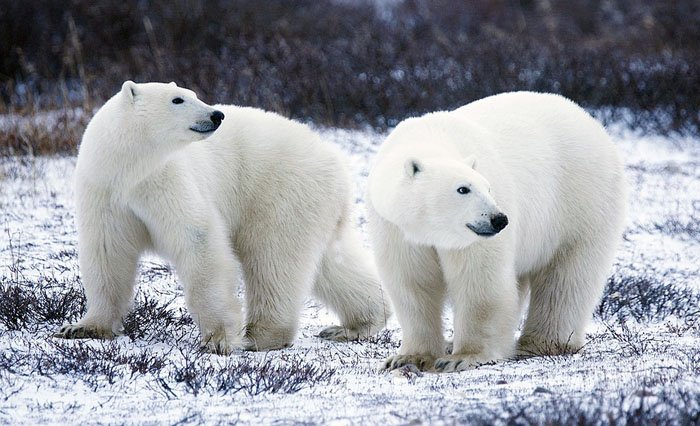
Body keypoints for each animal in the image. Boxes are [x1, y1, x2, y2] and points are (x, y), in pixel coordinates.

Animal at [56, 81, 388, 354]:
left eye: (193, 93)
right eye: (178, 99)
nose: (216, 115)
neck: (129, 168)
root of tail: (336, 161)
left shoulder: (166, 180)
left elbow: (198, 239)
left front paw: (218, 339)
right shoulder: (104, 190)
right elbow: (107, 252)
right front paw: (82, 327)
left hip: (281, 191)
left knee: (273, 259)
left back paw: (260, 336)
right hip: (314, 204)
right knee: (331, 263)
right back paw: (356, 324)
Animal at [370, 91, 628, 372]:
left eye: (488, 187)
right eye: (463, 189)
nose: (499, 220)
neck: (431, 138)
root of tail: (591, 121)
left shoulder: (473, 238)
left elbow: (480, 281)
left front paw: (462, 357)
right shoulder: (397, 229)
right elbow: (412, 284)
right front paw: (408, 358)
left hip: (581, 201)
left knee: (567, 276)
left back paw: (541, 343)